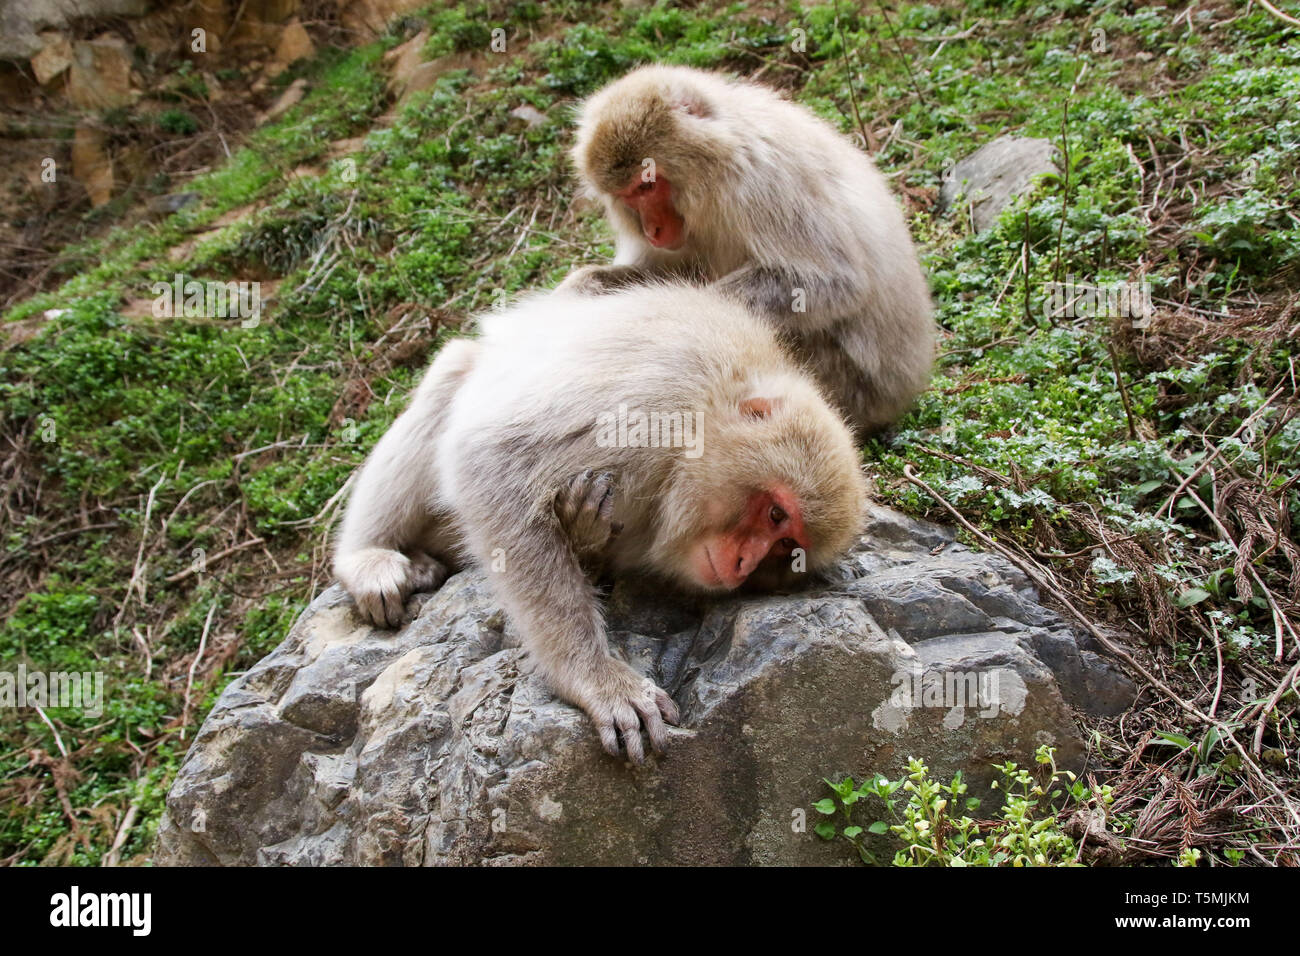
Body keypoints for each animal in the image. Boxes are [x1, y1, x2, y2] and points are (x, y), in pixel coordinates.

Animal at [333, 282, 868, 762]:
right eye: (776, 512)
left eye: (786, 549)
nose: (743, 563)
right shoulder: (656, 402)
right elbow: (491, 461)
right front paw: (594, 677)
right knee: (454, 374)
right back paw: (366, 556)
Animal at [561, 64, 936, 437]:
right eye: (626, 196)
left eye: (647, 185)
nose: (651, 231)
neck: (715, 170)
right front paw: (588, 286)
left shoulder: (761, 180)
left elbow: (831, 282)